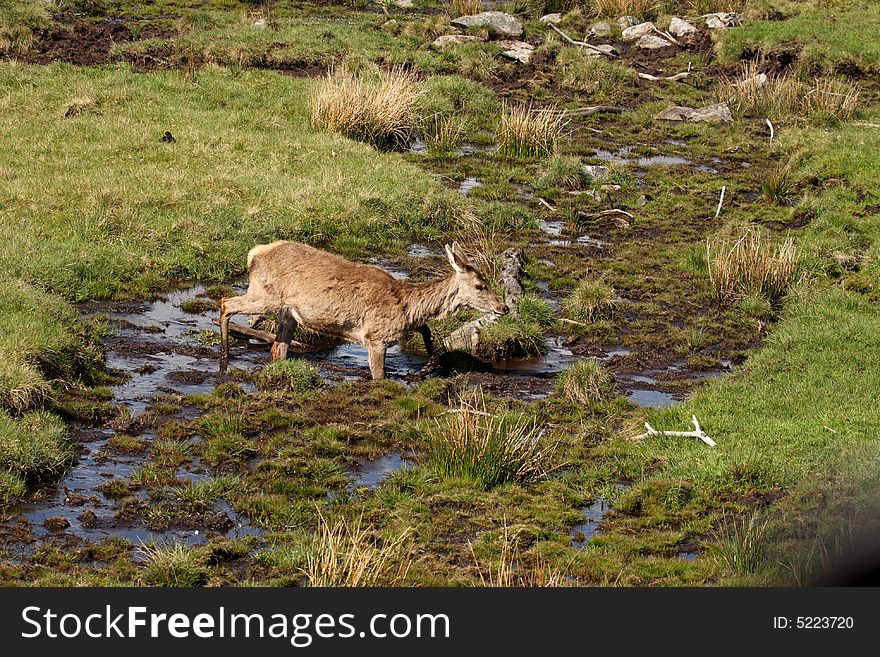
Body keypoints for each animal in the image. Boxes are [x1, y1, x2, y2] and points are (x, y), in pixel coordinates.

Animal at [220, 241, 508, 376]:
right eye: (480, 285)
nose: (503, 307)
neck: (406, 305)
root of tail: (253, 254)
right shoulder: (375, 337)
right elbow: (379, 375)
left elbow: (425, 329)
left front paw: (430, 364)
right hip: (264, 294)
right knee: (225, 303)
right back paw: (224, 352)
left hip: (288, 312)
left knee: (277, 348)